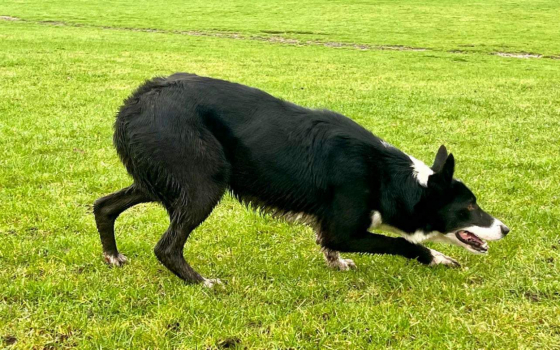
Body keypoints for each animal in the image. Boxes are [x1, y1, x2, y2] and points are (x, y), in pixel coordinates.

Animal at [94, 72, 510, 286]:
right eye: (469, 207)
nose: (505, 229)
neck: (390, 177)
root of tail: (135, 102)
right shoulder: (346, 230)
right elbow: (405, 245)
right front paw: (438, 258)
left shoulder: (332, 228)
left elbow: (329, 245)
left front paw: (336, 264)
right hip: (203, 185)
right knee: (166, 247)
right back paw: (201, 283)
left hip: (162, 181)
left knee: (104, 206)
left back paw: (112, 256)